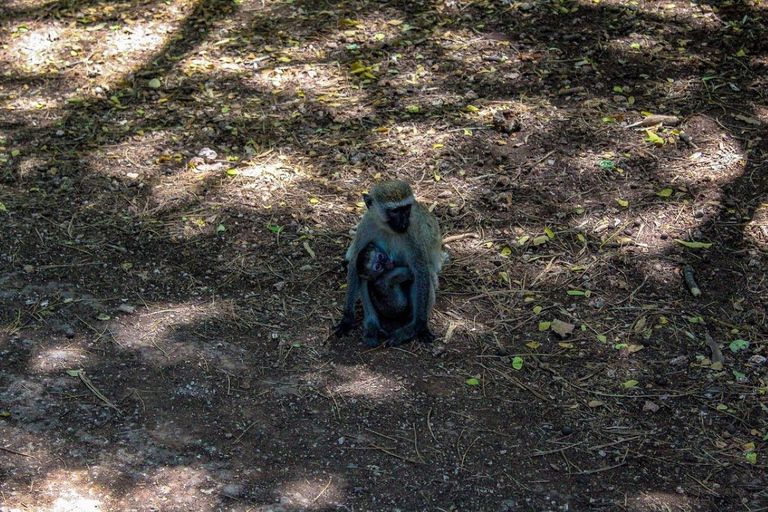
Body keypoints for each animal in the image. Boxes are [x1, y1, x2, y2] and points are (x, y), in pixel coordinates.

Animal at [332, 180, 440, 348]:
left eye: (406, 209)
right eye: (395, 211)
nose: (404, 222)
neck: (387, 228)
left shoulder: (412, 233)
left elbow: (421, 269)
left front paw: (420, 326)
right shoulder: (366, 224)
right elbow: (355, 263)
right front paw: (347, 318)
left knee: (425, 276)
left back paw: (411, 327)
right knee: (364, 277)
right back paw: (372, 325)